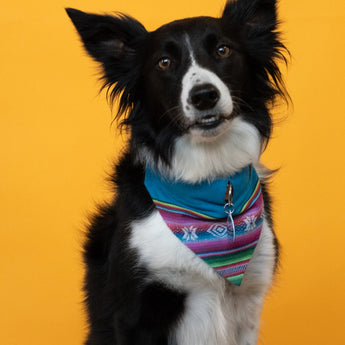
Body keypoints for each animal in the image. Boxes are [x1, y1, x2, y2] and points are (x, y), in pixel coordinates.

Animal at [66, 1, 286, 342]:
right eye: (164, 62)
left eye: (223, 50)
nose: (204, 95)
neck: (208, 179)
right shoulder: (135, 310)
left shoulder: (249, 302)